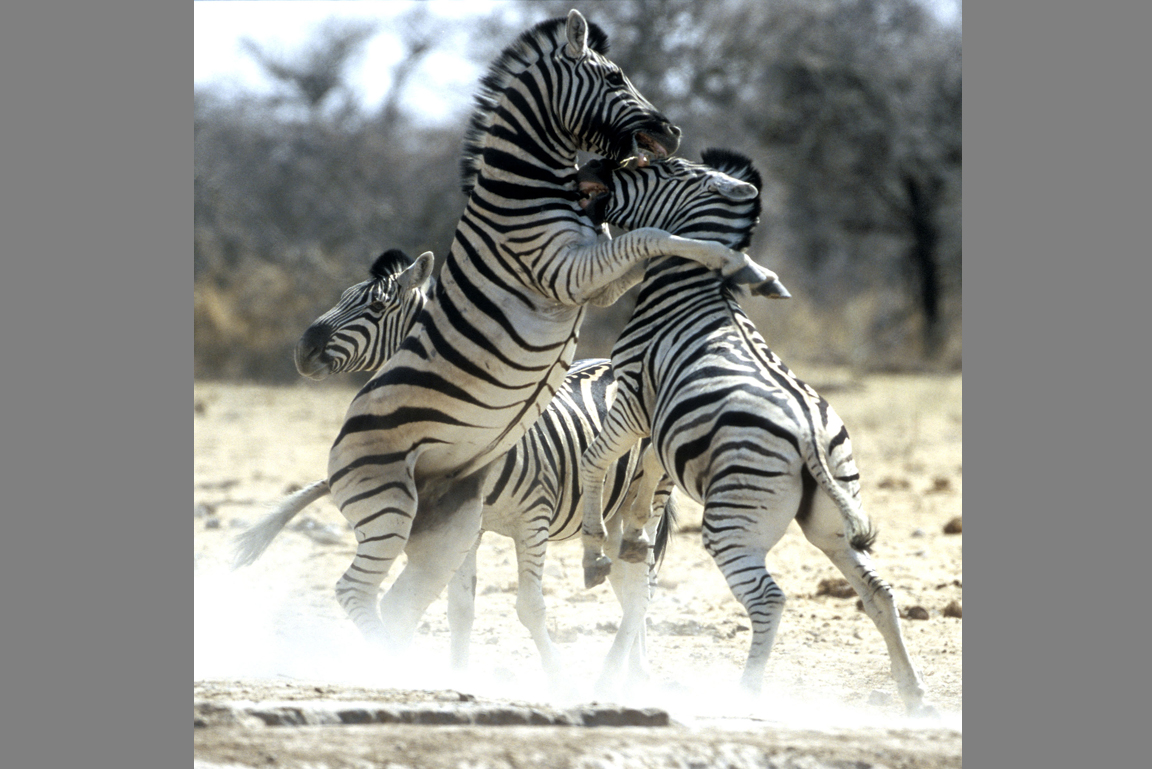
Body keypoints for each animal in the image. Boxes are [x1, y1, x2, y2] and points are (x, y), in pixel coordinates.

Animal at [235, 248, 676, 686]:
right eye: (343, 297)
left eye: (376, 307)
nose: (302, 352)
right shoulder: (470, 524)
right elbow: (460, 611)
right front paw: (459, 676)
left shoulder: (533, 517)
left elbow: (530, 607)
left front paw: (558, 679)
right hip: (611, 511)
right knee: (630, 584)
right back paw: (634, 671)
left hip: (648, 497)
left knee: (642, 588)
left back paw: (618, 674)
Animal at [323, 11, 786, 650]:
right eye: (614, 76)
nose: (672, 132)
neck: (523, 196)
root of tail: (339, 442)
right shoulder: (567, 272)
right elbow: (654, 236)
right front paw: (744, 266)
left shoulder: (592, 276)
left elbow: (648, 242)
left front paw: (736, 255)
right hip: (388, 504)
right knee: (357, 592)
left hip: (443, 523)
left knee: (403, 599)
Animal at [574, 150, 932, 715]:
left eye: (659, 168)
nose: (590, 167)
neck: (689, 288)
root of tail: (808, 434)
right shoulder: (658, 420)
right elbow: (646, 478)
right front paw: (633, 536)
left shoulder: (631, 397)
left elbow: (595, 459)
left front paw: (595, 554)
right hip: (833, 522)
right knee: (878, 591)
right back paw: (915, 694)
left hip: (732, 525)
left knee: (769, 599)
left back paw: (746, 695)